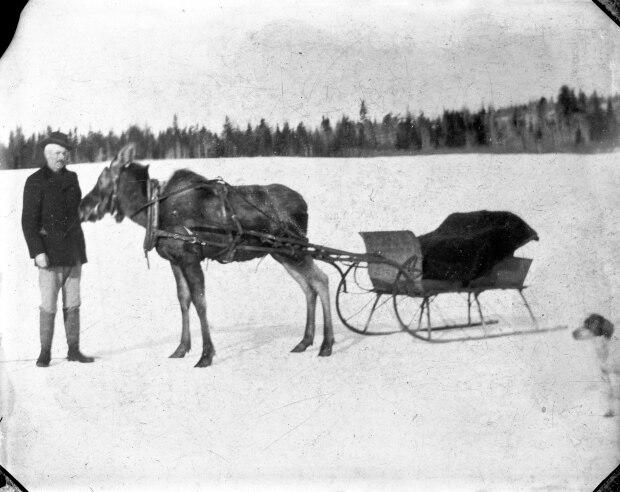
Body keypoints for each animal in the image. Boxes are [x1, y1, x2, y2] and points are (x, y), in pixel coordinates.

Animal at [82, 144, 336, 368]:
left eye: (102, 179)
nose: (82, 207)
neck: (151, 213)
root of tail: (304, 205)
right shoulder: (175, 261)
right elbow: (183, 300)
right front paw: (181, 348)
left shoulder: (190, 257)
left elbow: (200, 302)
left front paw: (205, 355)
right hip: (282, 254)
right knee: (308, 287)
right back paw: (305, 341)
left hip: (294, 249)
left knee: (322, 280)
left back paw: (326, 344)